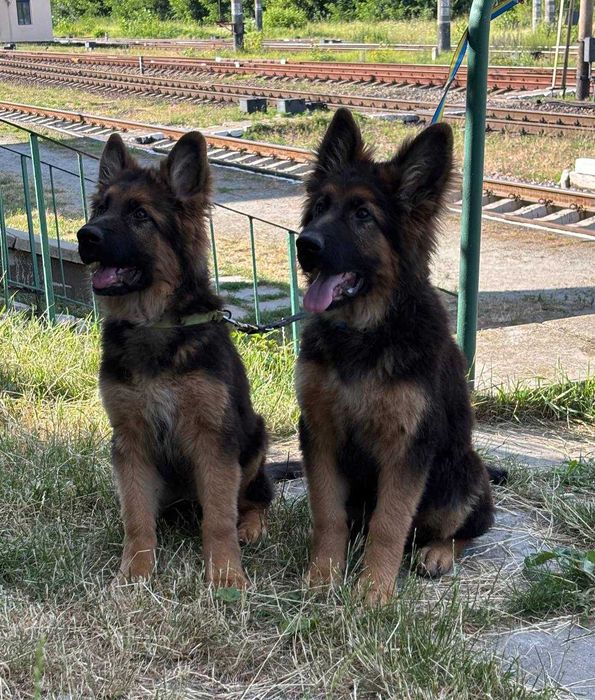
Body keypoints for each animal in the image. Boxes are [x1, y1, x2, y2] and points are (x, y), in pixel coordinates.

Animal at [77, 132, 272, 588]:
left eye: (140, 215)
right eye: (101, 208)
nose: (83, 235)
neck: (155, 322)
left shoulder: (214, 440)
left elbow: (219, 517)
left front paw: (225, 575)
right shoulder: (129, 440)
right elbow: (135, 515)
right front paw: (135, 571)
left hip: (254, 441)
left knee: (254, 499)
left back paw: (251, 526)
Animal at [295, 108, 499, 605]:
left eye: (363, 215)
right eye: (321, 206)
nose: (304, 245)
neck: (364, 333)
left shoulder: (408, 448)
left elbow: (389, 524)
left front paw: (374, 591)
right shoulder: (319, 434)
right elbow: (327, 514)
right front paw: (323, 575)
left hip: (460, 475)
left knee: (465, 528)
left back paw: (437, 553)